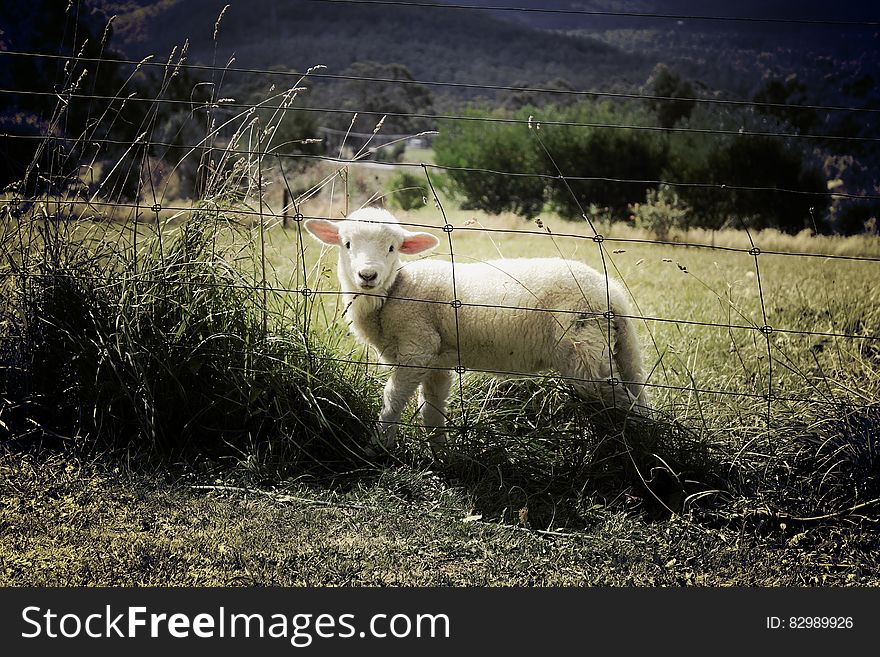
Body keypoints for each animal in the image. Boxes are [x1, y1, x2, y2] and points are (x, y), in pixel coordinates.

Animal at [306, 208, 648, 448]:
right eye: (347, 244)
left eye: (392, 248)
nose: (367, 275)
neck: (393, 292)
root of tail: (611, 294)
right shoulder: (437, 360)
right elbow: (432, 409)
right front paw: (440, 453)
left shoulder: (417, 347)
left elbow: (393, 399)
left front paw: (378, 446)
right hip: (611, 349)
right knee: (636, 392)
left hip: (582, 353)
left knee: (621, 401)